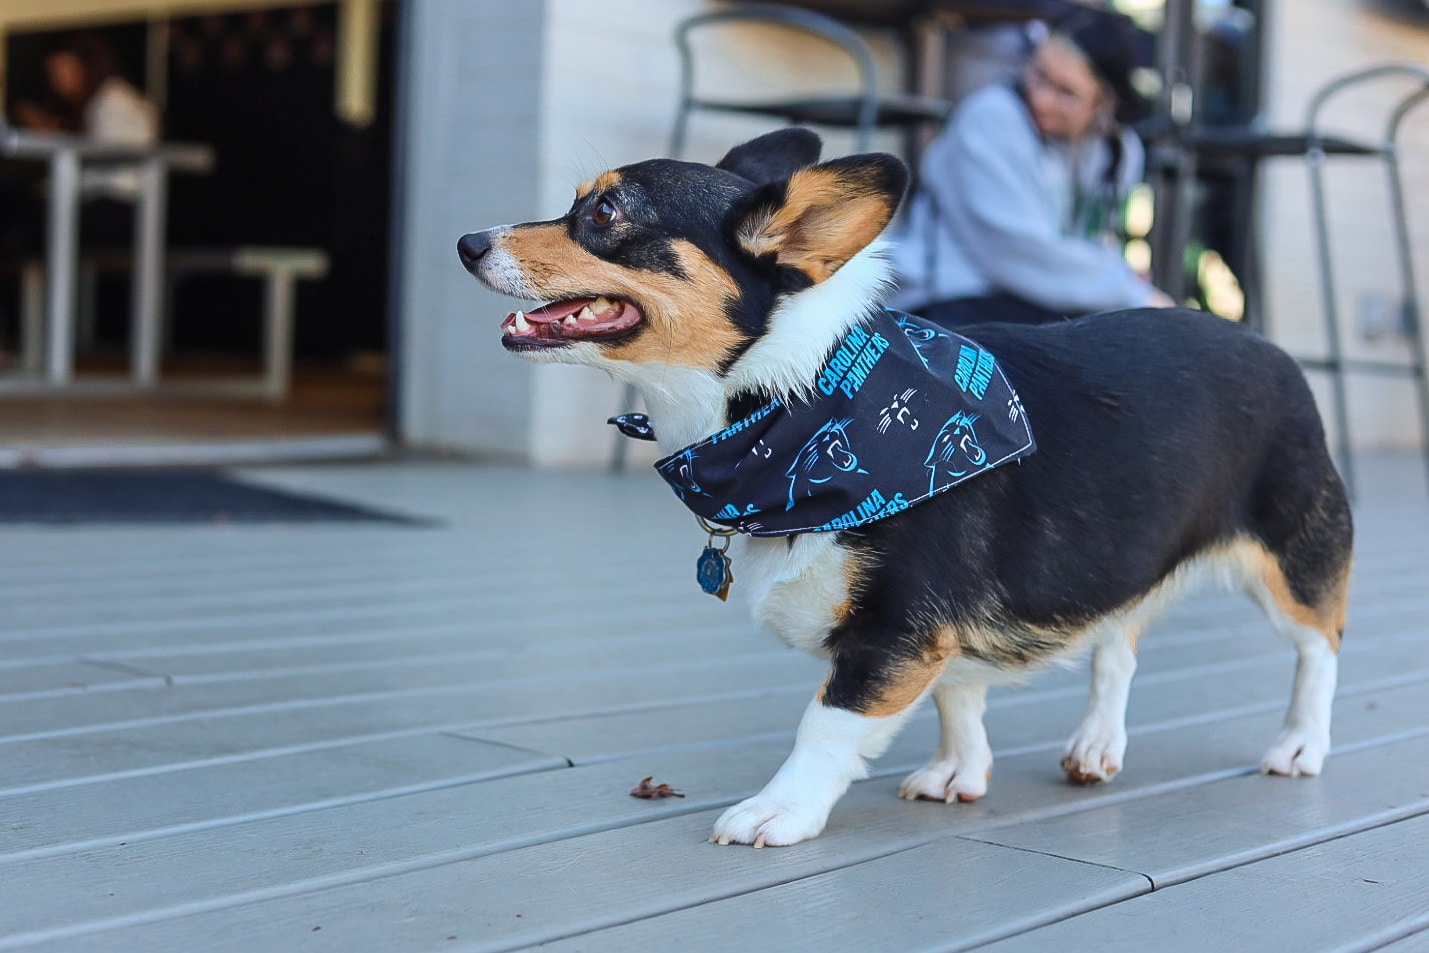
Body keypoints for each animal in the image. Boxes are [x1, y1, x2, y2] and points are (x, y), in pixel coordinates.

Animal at [457, 128, 1348, 851]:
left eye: (606, 212)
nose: (465, 241)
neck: (792, 406)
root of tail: (1257, 338)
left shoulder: (895, 628)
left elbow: (825, 725)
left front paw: (779, 810)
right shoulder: (936, 633)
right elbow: (958, 694)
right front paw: (961, 770)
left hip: (1293, 562)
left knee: (1317, 648)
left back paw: (1300, 745)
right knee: (1117, 643)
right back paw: (1097, 743)